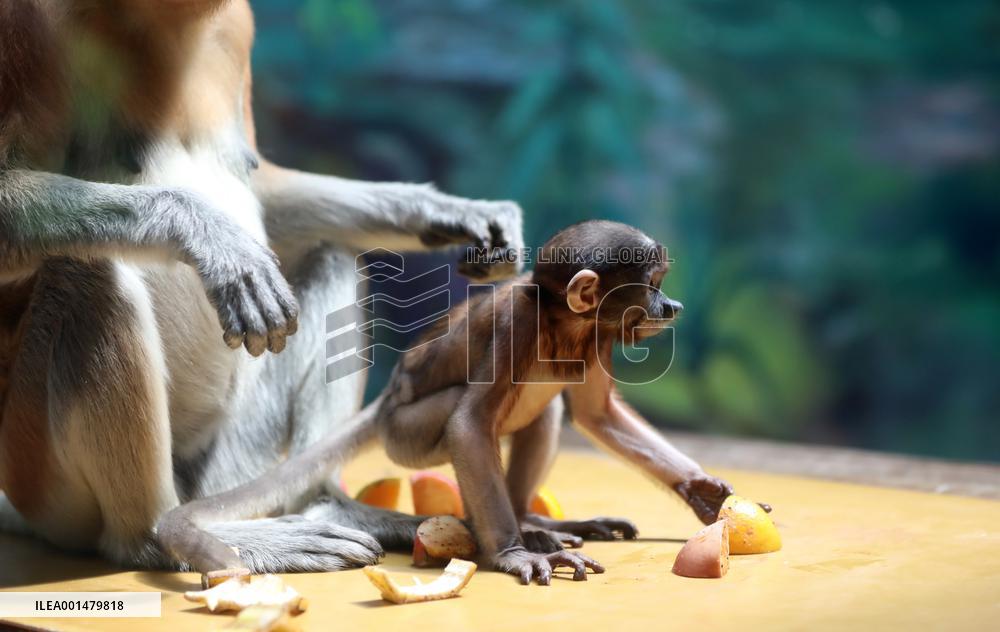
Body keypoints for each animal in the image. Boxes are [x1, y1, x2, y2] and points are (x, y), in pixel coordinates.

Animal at [0, 0, 523, 572]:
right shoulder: (30, 30)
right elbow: (9, 197)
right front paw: (219, 244)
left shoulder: (236, 26)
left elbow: (264, 189)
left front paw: (450, 212)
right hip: (40, 473)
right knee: (90, 273)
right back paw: (167, 538)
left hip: (234, 462)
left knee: (331, 257)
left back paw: (327, 504)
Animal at [156, 220, 750, 585]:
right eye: (652, 286)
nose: (671, 306)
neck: (563, 325)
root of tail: (389, 397)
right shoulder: (518, 323)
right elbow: (469, 425)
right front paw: (514, 555)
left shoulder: (597, 336)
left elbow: (595, 415)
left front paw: (700, 491)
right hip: (406, 431)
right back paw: (525, 530)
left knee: (546, 408)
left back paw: (531, 516)